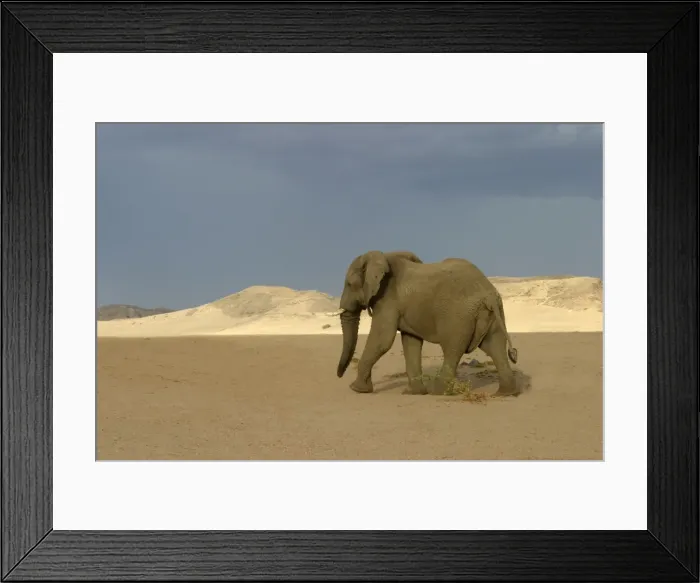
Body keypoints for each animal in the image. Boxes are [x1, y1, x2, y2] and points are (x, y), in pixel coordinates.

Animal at [335, 250, 519, 396]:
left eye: (349, 284)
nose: (339, 376)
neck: (384, 255)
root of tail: (488, 294)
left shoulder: (387, 299)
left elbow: (382, 340)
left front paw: (357, 389)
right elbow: (411, 341)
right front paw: (414, 393)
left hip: (458, 316)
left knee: (452, 349)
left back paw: (439, 392)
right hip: (493, 314)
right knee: (495, 347)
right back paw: (505, 393)